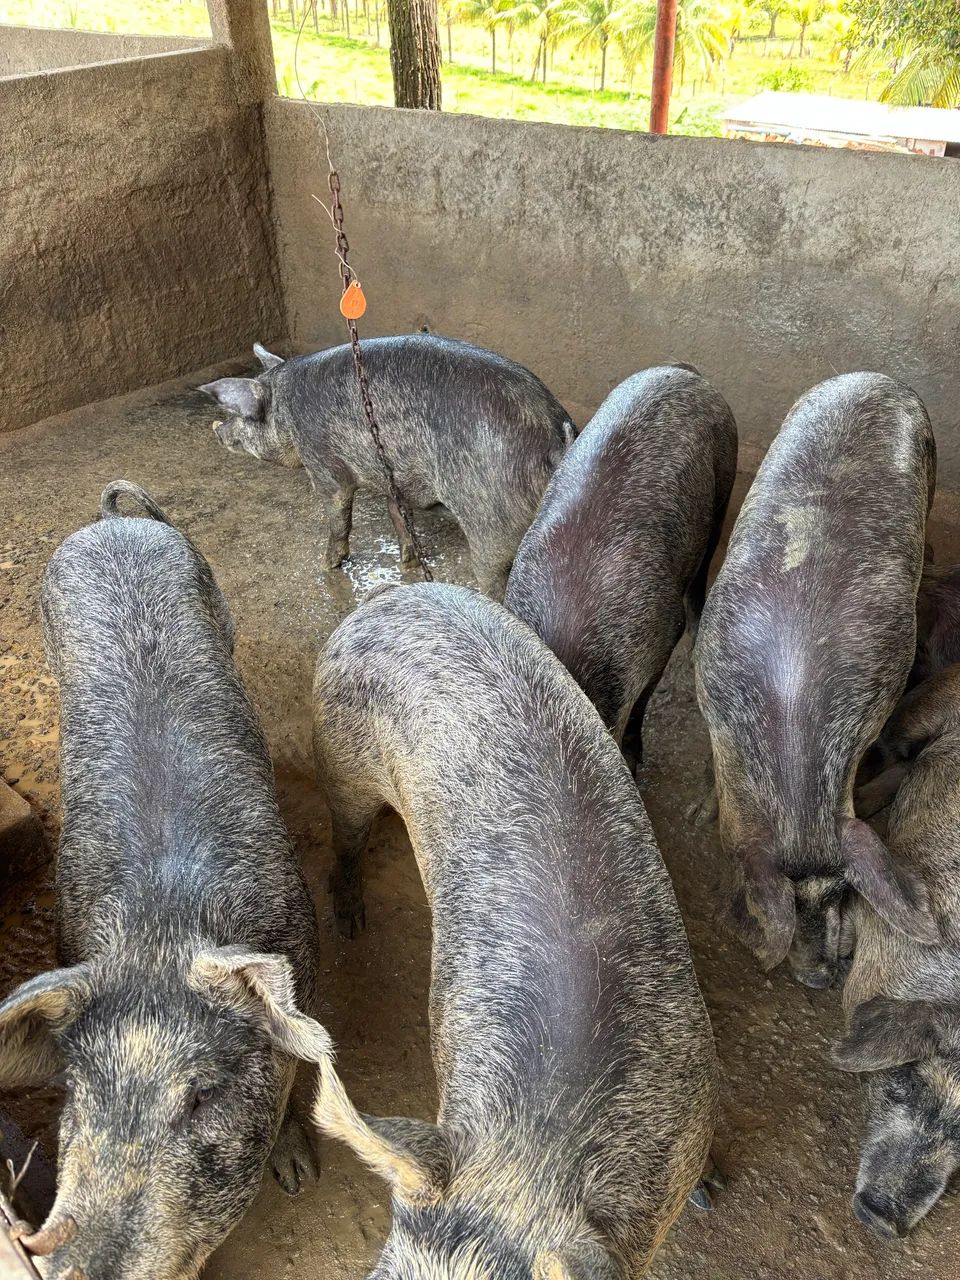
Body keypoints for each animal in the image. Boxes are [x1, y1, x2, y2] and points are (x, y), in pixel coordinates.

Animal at [0, 481, 333, 1280]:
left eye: (202, 1098)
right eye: (76, 1094)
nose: (66, 1260)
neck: (162, 929)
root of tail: (112, 525)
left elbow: (299, 1074)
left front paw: (297, 1176)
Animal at [201, 334, 576, 597]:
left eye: (239, 415)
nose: (217, 429)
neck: (285, 413)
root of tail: (554, 435)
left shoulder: (324, 467)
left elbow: (339, 518)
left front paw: (327, 566)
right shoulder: (394, 478)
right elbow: (397, 515)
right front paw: (407, 562)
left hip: (490, 520)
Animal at [310, 582, 719, 1278]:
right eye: (377, 1274)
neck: (539, 1143)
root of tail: (389, 598)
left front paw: (711, 1194)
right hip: (340, 749)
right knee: (345, 835)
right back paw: (352, 920)